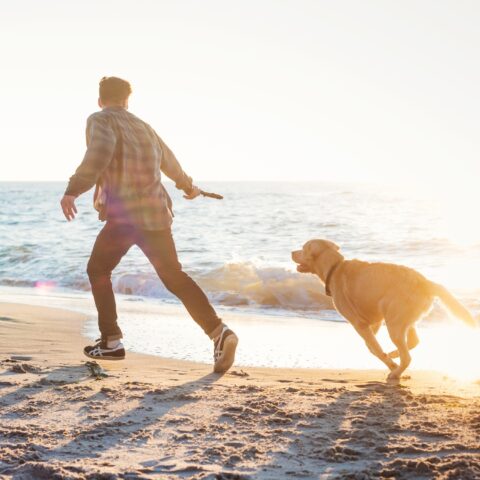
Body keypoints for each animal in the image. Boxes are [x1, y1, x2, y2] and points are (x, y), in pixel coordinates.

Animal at [290, 240, 474, 378]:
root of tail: (425, 282)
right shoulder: (374, 320)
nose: (291, 252)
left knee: (407, 356)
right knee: (413, 342)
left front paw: (390, 363)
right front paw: (389, 359)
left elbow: (375, 349)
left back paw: (396, 371)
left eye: (304, 248)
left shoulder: (359, 323)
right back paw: (394, 355)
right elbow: (372, 346)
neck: (335, 268)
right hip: (403, 319)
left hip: (395, 323)